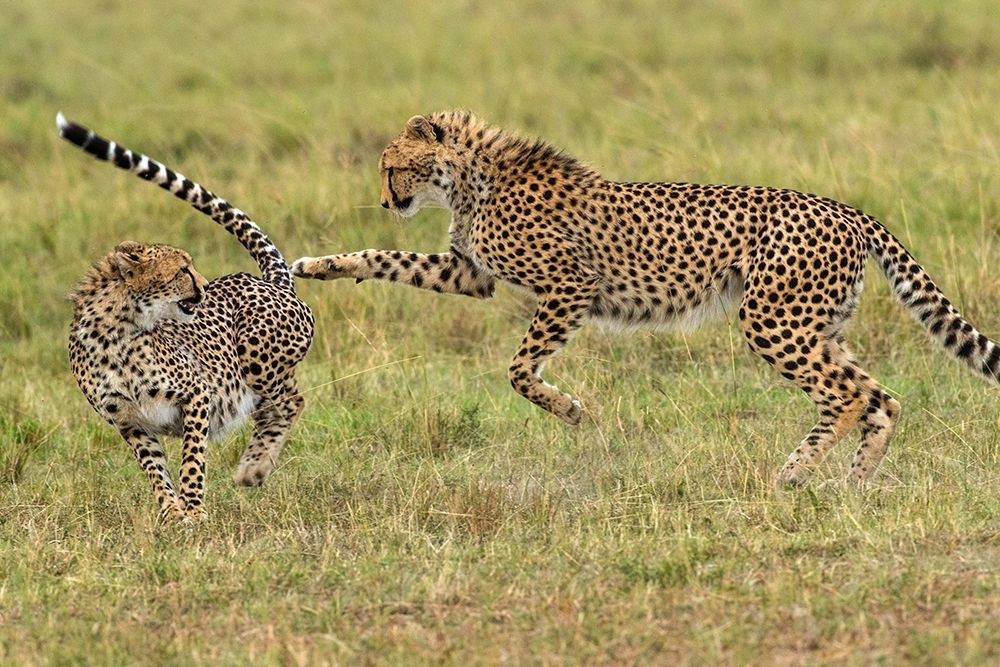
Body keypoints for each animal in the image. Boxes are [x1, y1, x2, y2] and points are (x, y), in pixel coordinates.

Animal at [58, 113, 312, 520]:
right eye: (183, 269)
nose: (205, 286)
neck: (116, 335)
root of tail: (269, 280)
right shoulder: (130, 422)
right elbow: (154, 469)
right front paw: (171, 512)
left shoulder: (197, 394)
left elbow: (192, 459)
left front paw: (193, 510)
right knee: (272, 408)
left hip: (257, 360)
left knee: (291, 402)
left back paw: (254, 467)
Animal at [292, 112, 996, 488]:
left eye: (391, 166)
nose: (387, 201)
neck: (471, 180)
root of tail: (844, 207)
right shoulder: (471, 274)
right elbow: (389, 260)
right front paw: (320, 264)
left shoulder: (571, 285)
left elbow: (519, 370)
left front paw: (570, 409)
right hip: (817, 325)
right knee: (882, 396)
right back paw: (852, 485)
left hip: (773, 321)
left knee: (849, 396)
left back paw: (795, 474)